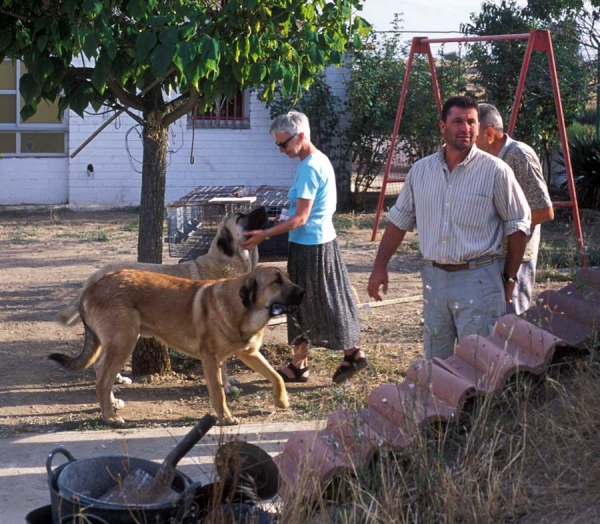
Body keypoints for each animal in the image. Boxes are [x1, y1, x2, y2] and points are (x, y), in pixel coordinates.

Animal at [49, 266, 304, 426]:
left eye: (288, 277)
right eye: (276, 281)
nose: (303, 292)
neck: (243, 308)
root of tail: (89, 289)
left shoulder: (249, 354)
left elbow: (276, 377)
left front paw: (282, 400)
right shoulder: (210, 360)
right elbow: (218, 393)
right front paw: (225, 418)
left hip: (118, 344)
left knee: (102, 371)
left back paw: (111, 404)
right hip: (124, 343)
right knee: (102, 380)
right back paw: (109, 417)